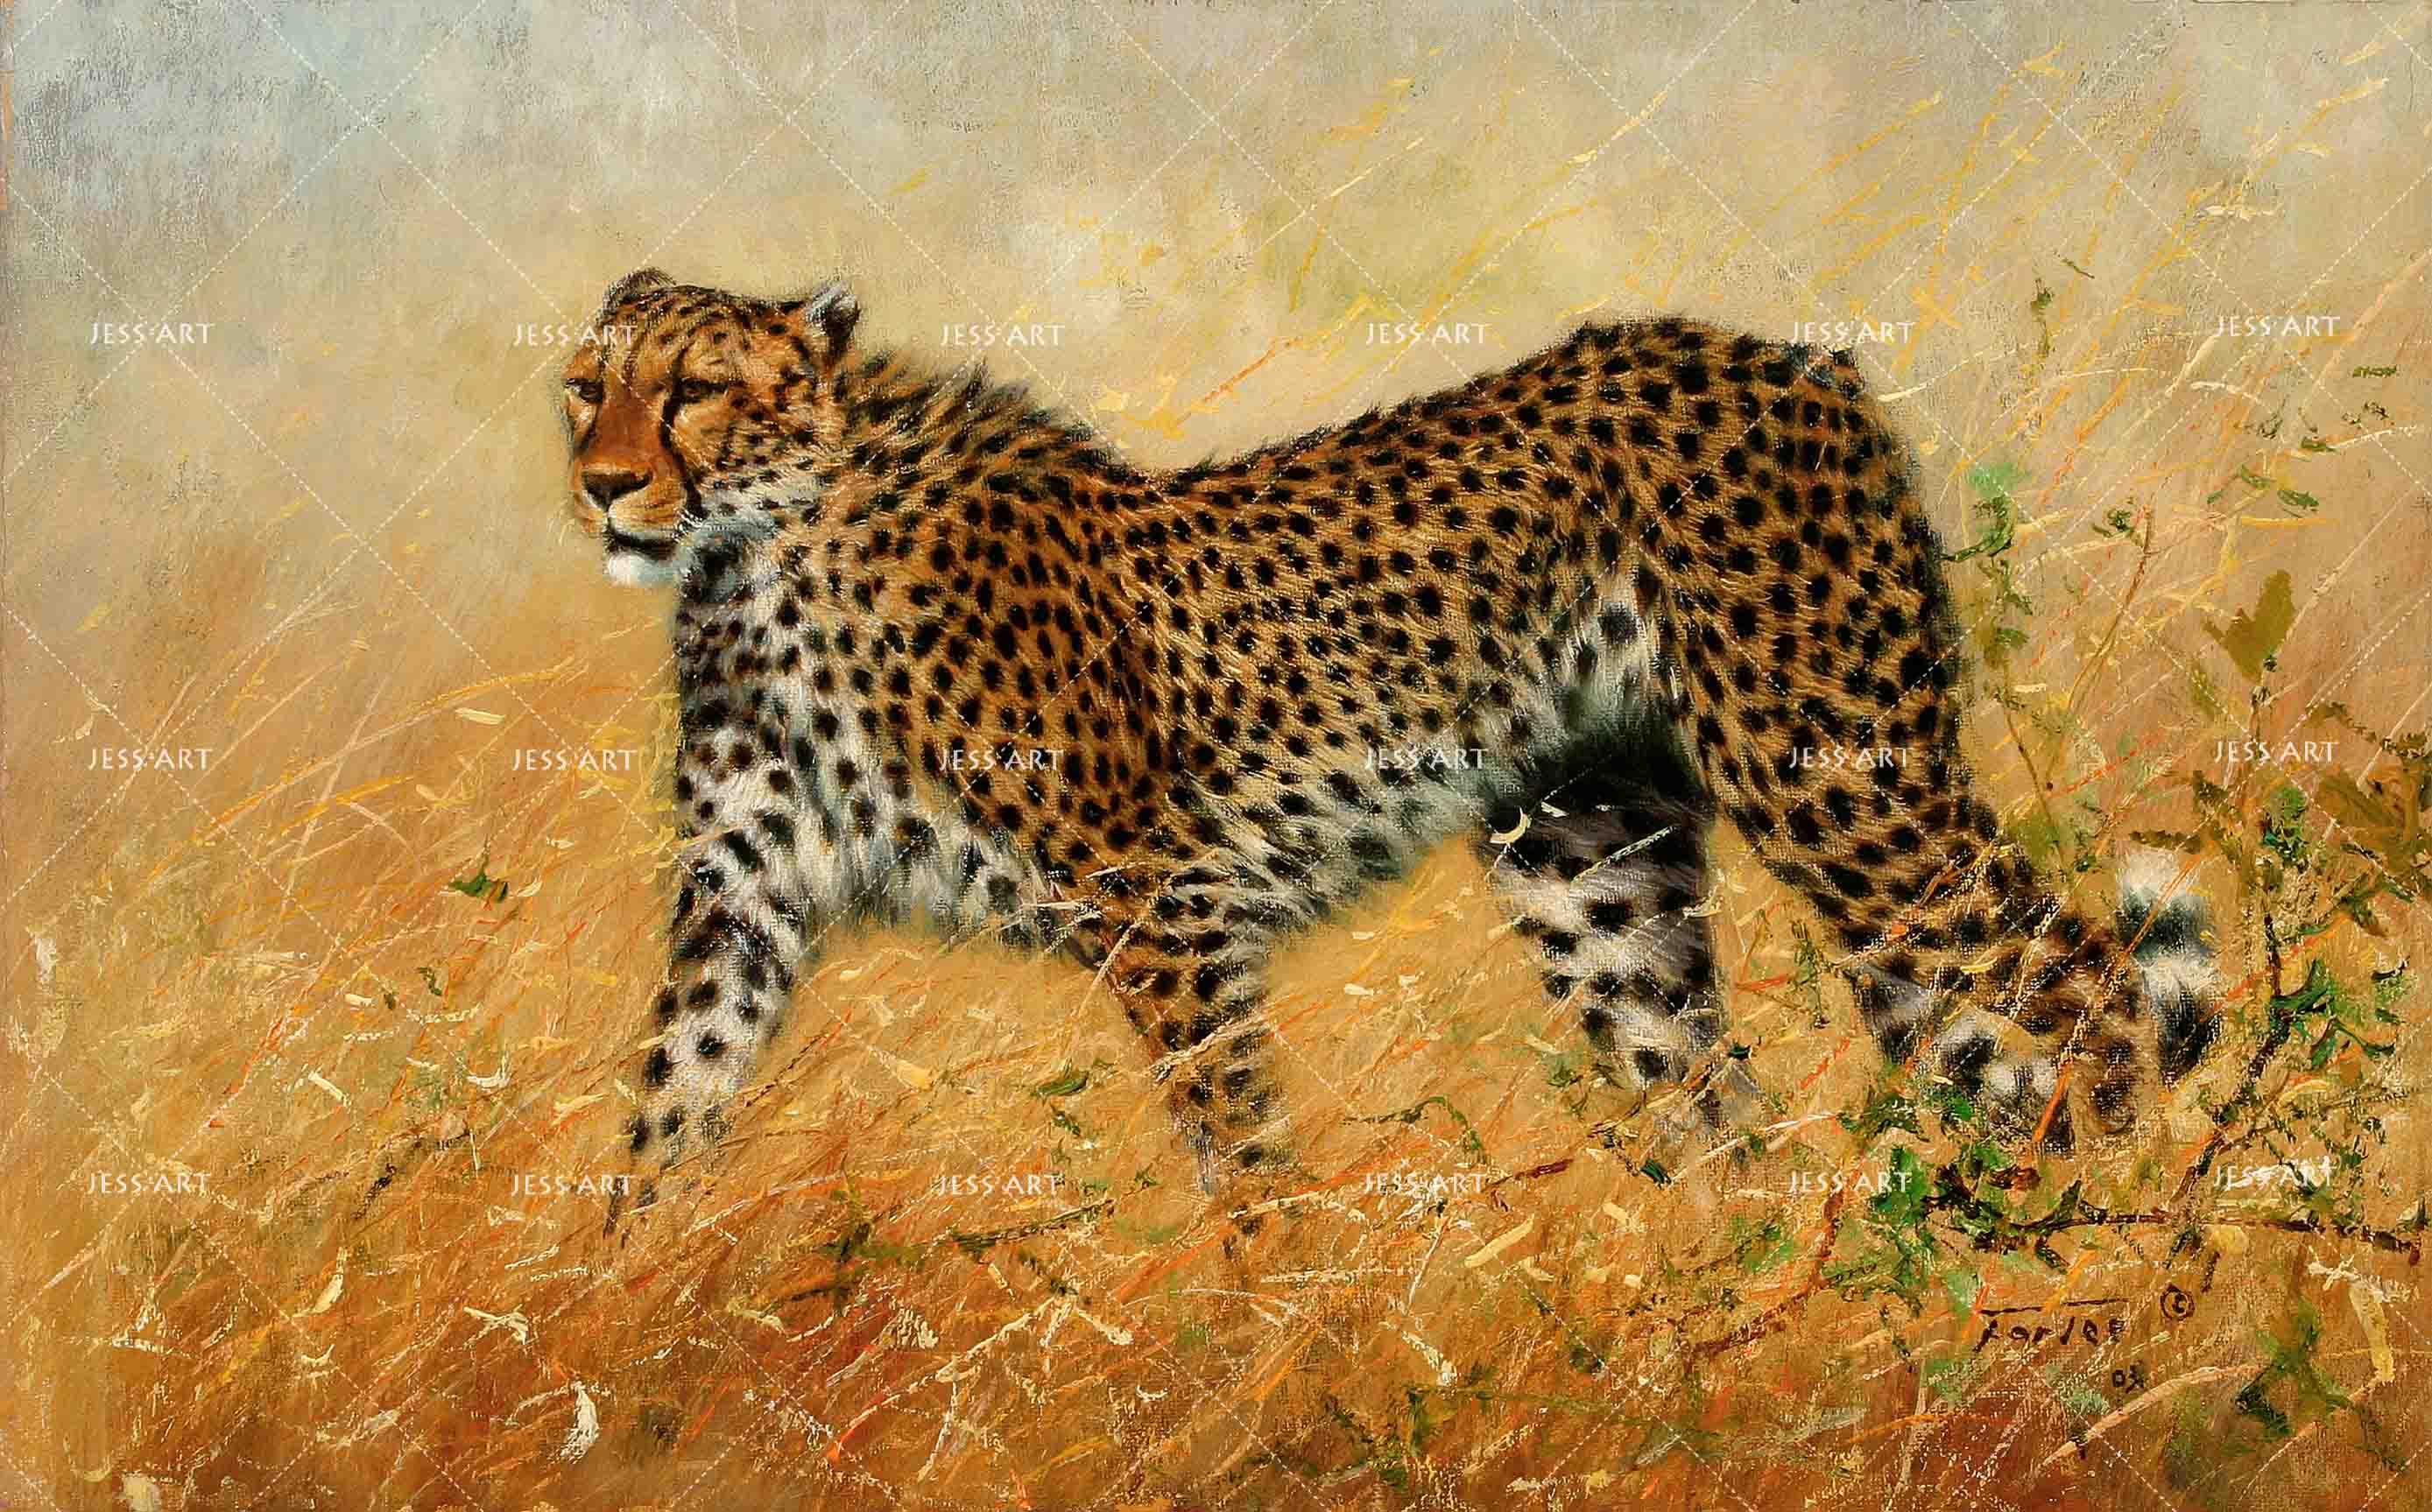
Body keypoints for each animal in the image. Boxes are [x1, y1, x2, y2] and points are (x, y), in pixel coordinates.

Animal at [556, 267, 2221, 1216]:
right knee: (1718, 1108)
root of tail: (1783, 354)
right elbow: (668, 1109)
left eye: (694, 390)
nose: (599, 485)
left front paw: (1277, 1350)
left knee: (2087, 980)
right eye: (587, 387)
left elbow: (1240, 1161)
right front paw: (625, 1314)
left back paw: (2113, 1256)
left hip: (1836, 779)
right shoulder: (743, 902)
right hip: (1589, 863)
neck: (756, 556)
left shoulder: (1163, 902)